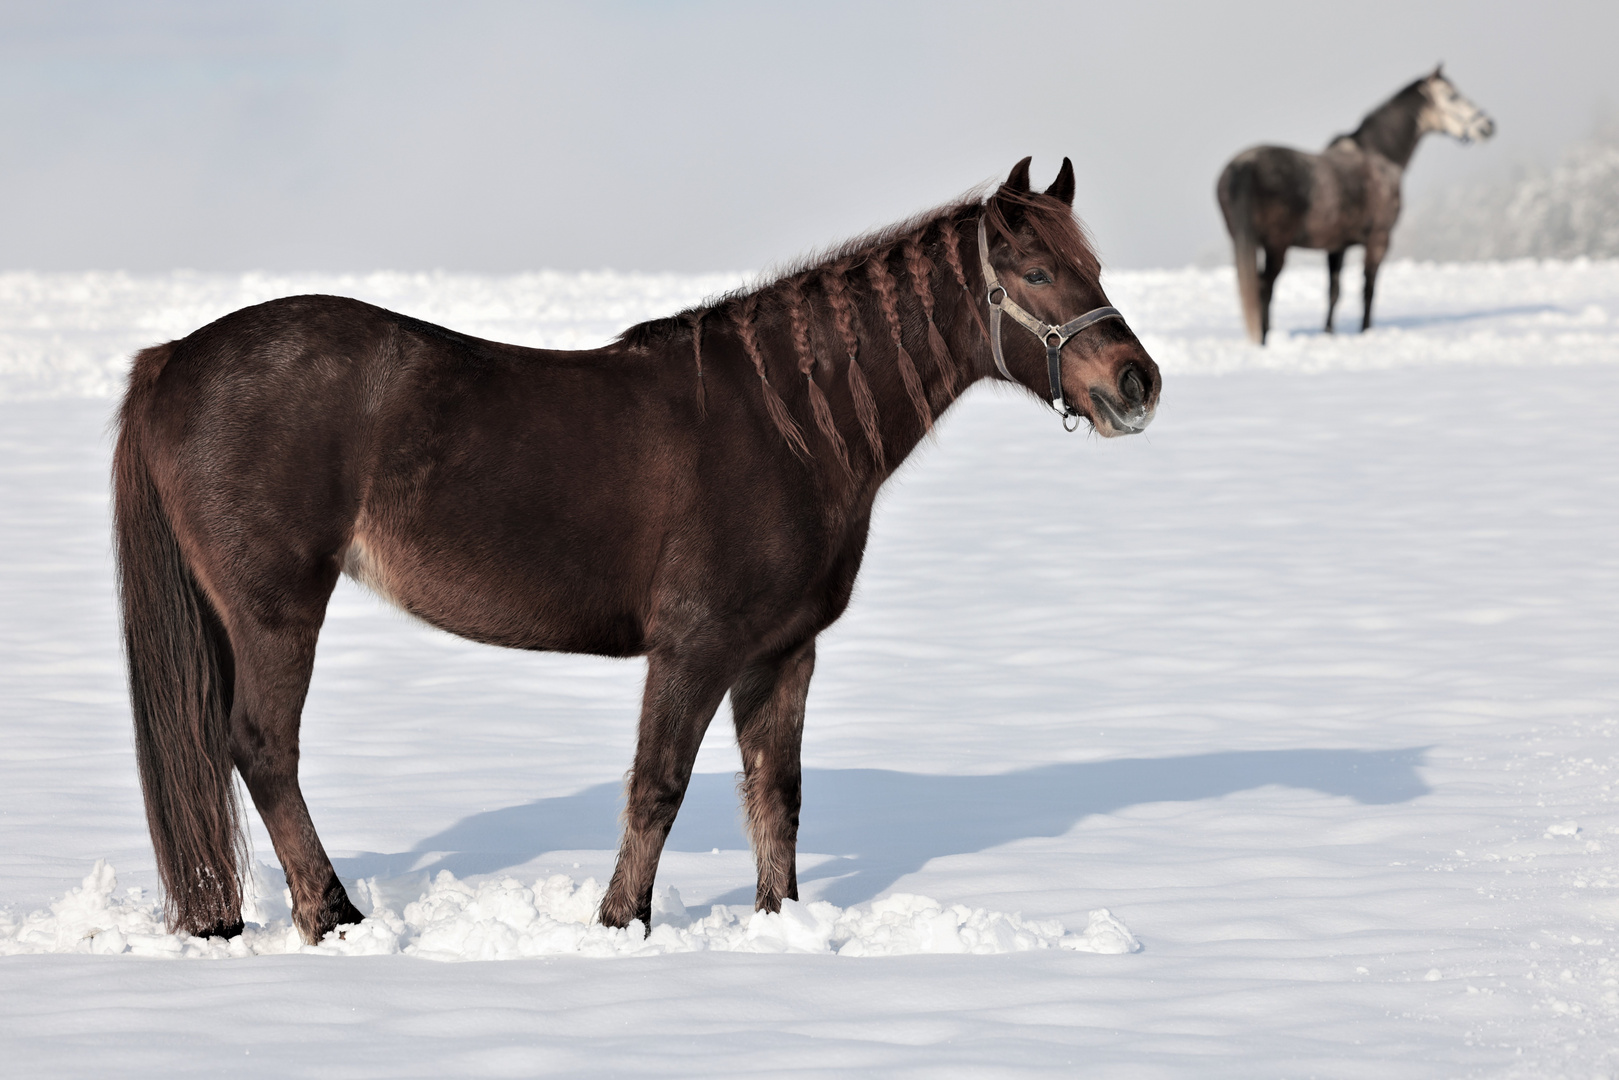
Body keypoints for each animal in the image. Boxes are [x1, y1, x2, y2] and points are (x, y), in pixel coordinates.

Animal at [114, 158, 1159, 945]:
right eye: (1033, 272)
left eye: (1095, 266)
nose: (1136, 382)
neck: (786, 427)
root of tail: (176, 357)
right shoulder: (694, 647)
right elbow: (657, 787)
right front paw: (622, 924)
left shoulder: (783, 652)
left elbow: (776, 794)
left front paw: (778, 924)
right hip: (276, 607)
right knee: (263, 748)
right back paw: (332, 915)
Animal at [1217, 65, 1489, 344]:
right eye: (1452, 95)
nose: (1488, 126)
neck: (1379, 156)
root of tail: (1244, 165)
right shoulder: (1379, 239)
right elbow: (1368, 288)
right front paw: (1365, 331)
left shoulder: (1337, 246)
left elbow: (1334, 291)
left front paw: (1328, 333)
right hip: (1276, 245)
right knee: (1264, 287)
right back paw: (1263, 340)